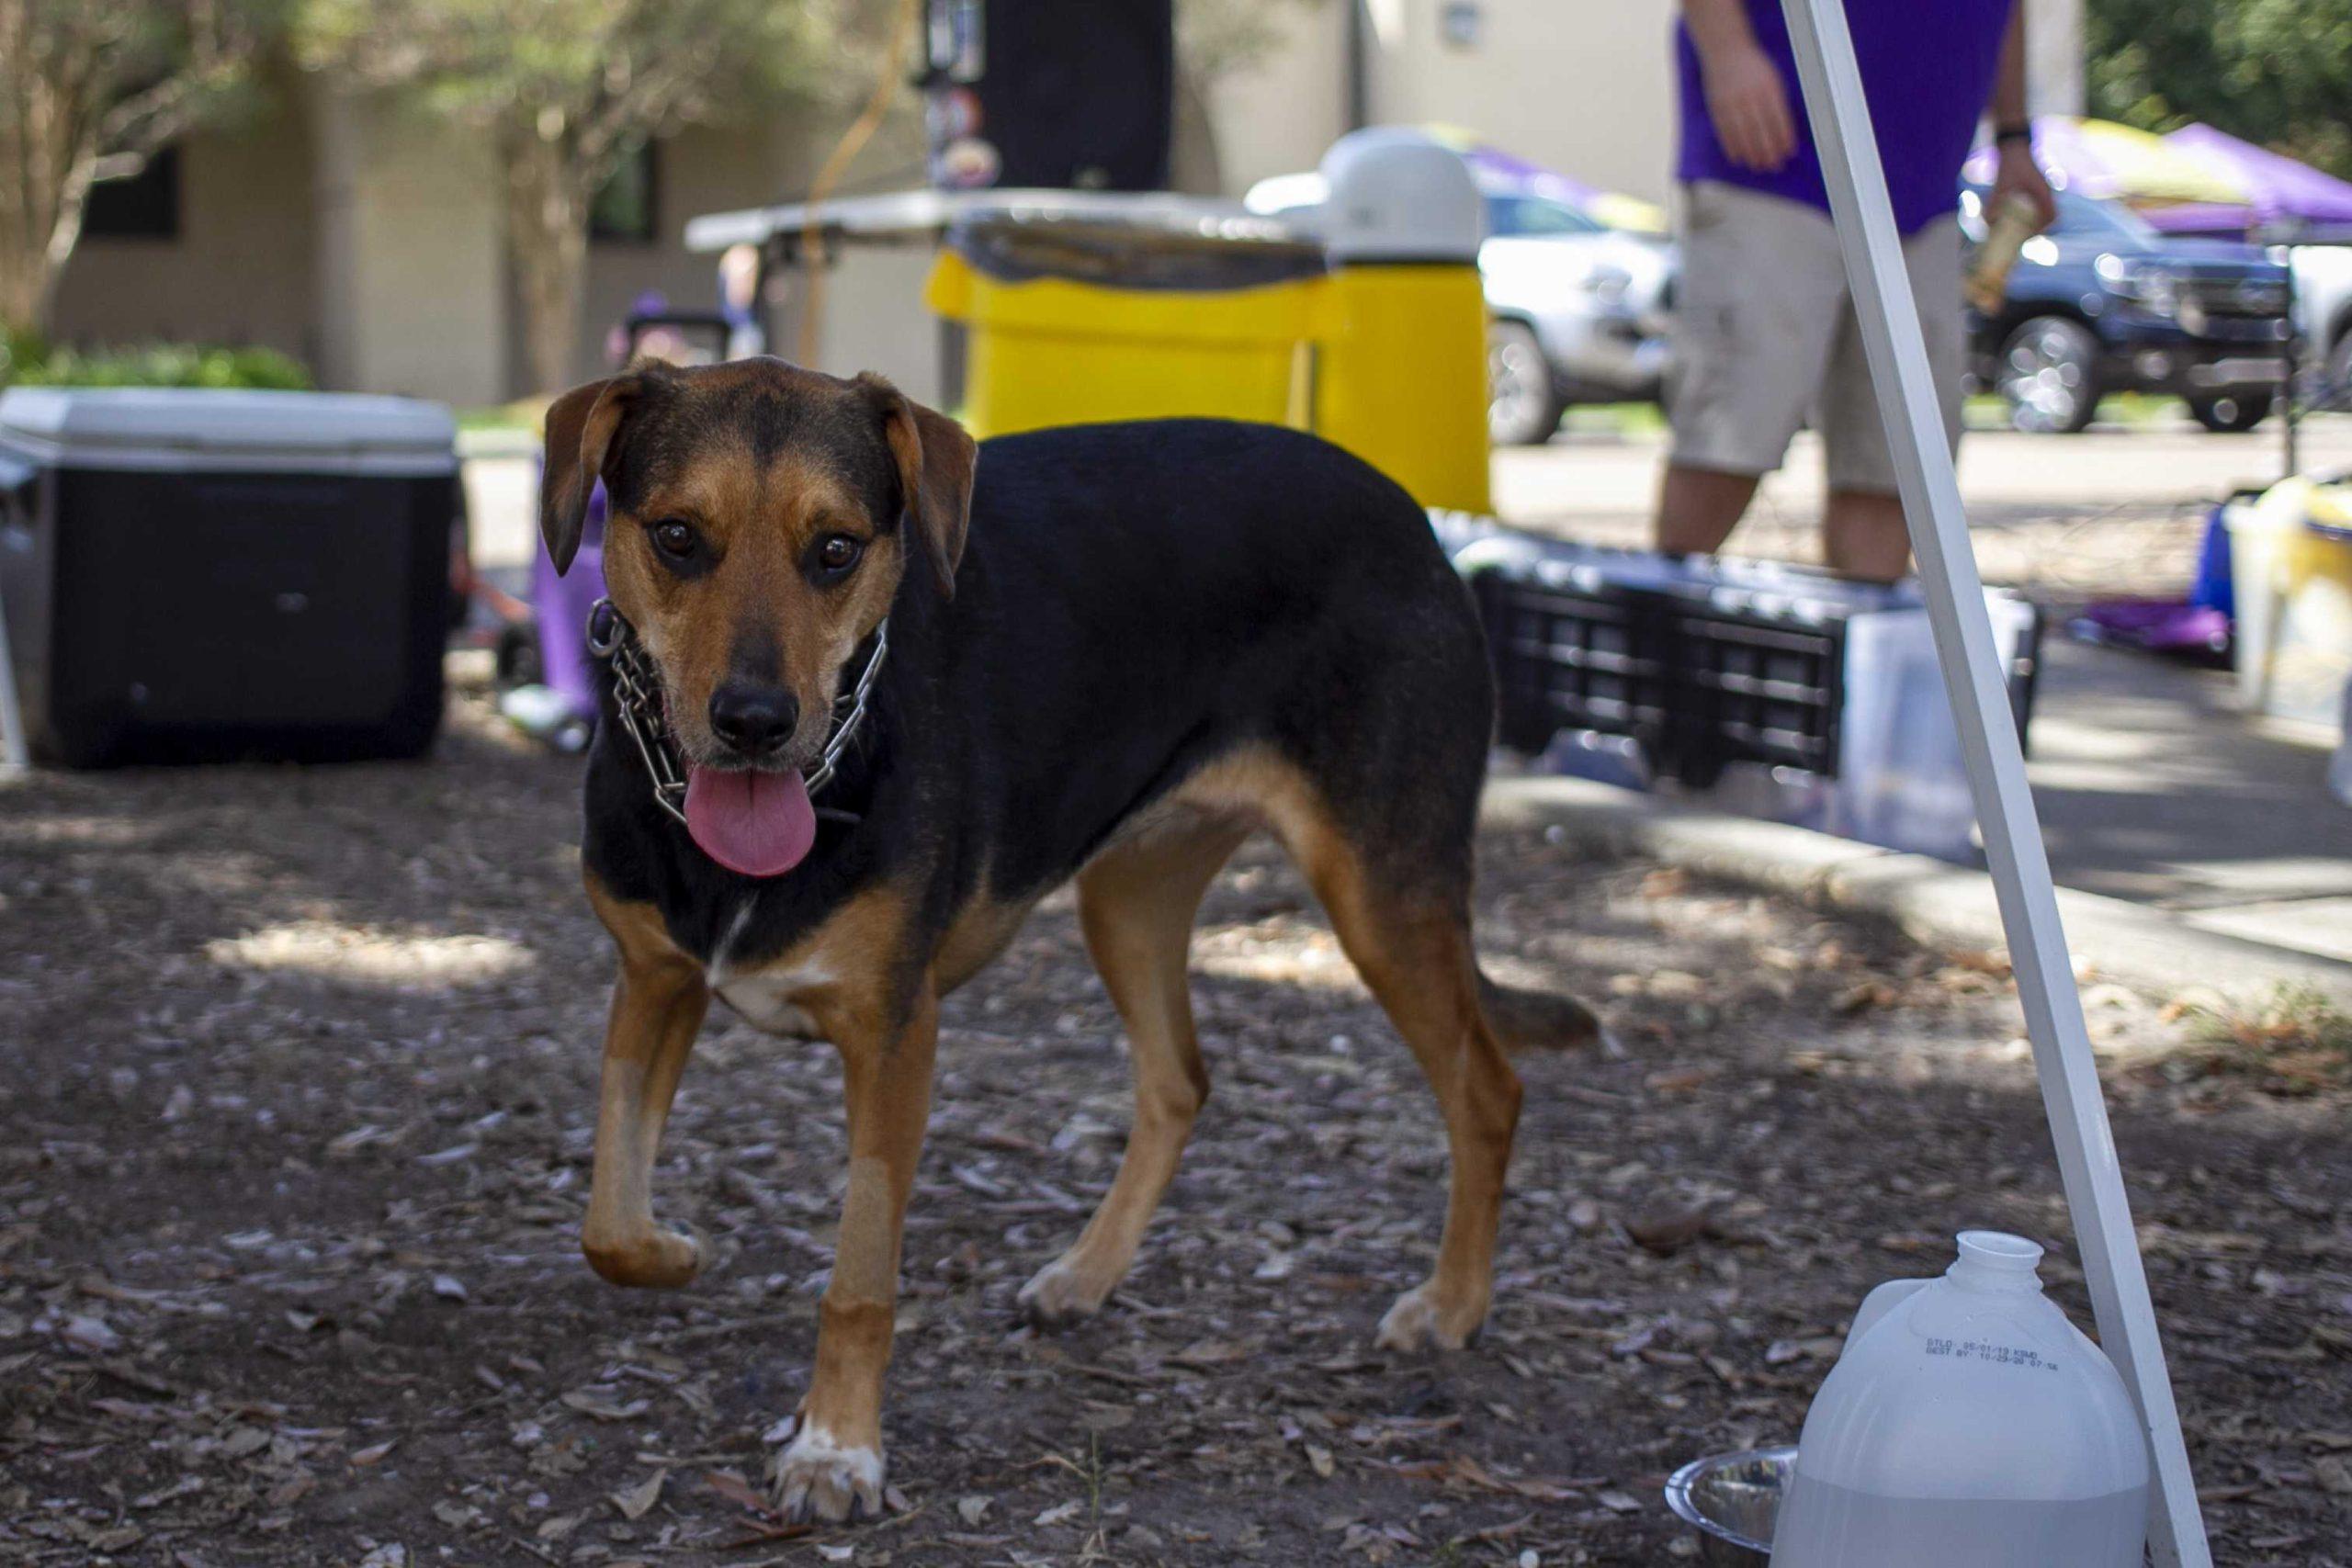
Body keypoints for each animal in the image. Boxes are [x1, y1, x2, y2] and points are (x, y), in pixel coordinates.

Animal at [545, 359, 1599, 1523]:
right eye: (677, 536)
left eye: (837, 549)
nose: (754, 724)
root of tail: (1411, 516)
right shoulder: (653, 981)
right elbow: (608, 1220)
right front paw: (675, 1253)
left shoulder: (895, 1036)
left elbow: (859, 1279)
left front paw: (837, 1449)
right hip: (1130, 897)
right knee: (1180, 1079)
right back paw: (1086, 1277)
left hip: (1381, 891)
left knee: (1485, 1089)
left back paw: (1451, 1305)